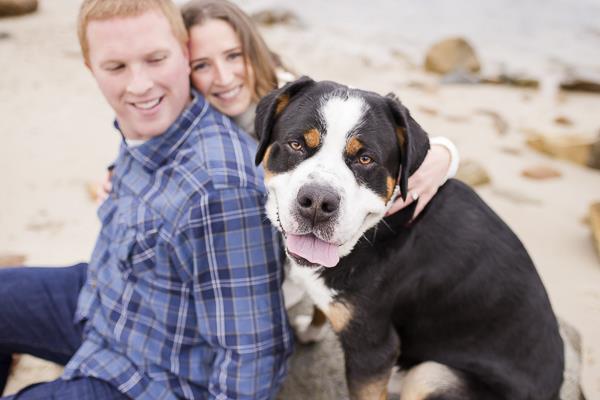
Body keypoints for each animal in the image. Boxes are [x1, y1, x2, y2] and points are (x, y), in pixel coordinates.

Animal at [255, 77, 564, 400]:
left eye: (365, 159)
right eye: (296, 144)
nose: (317, 202)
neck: (372, 231)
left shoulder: (373, 349)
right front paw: (311, 329)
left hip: (430, 376)